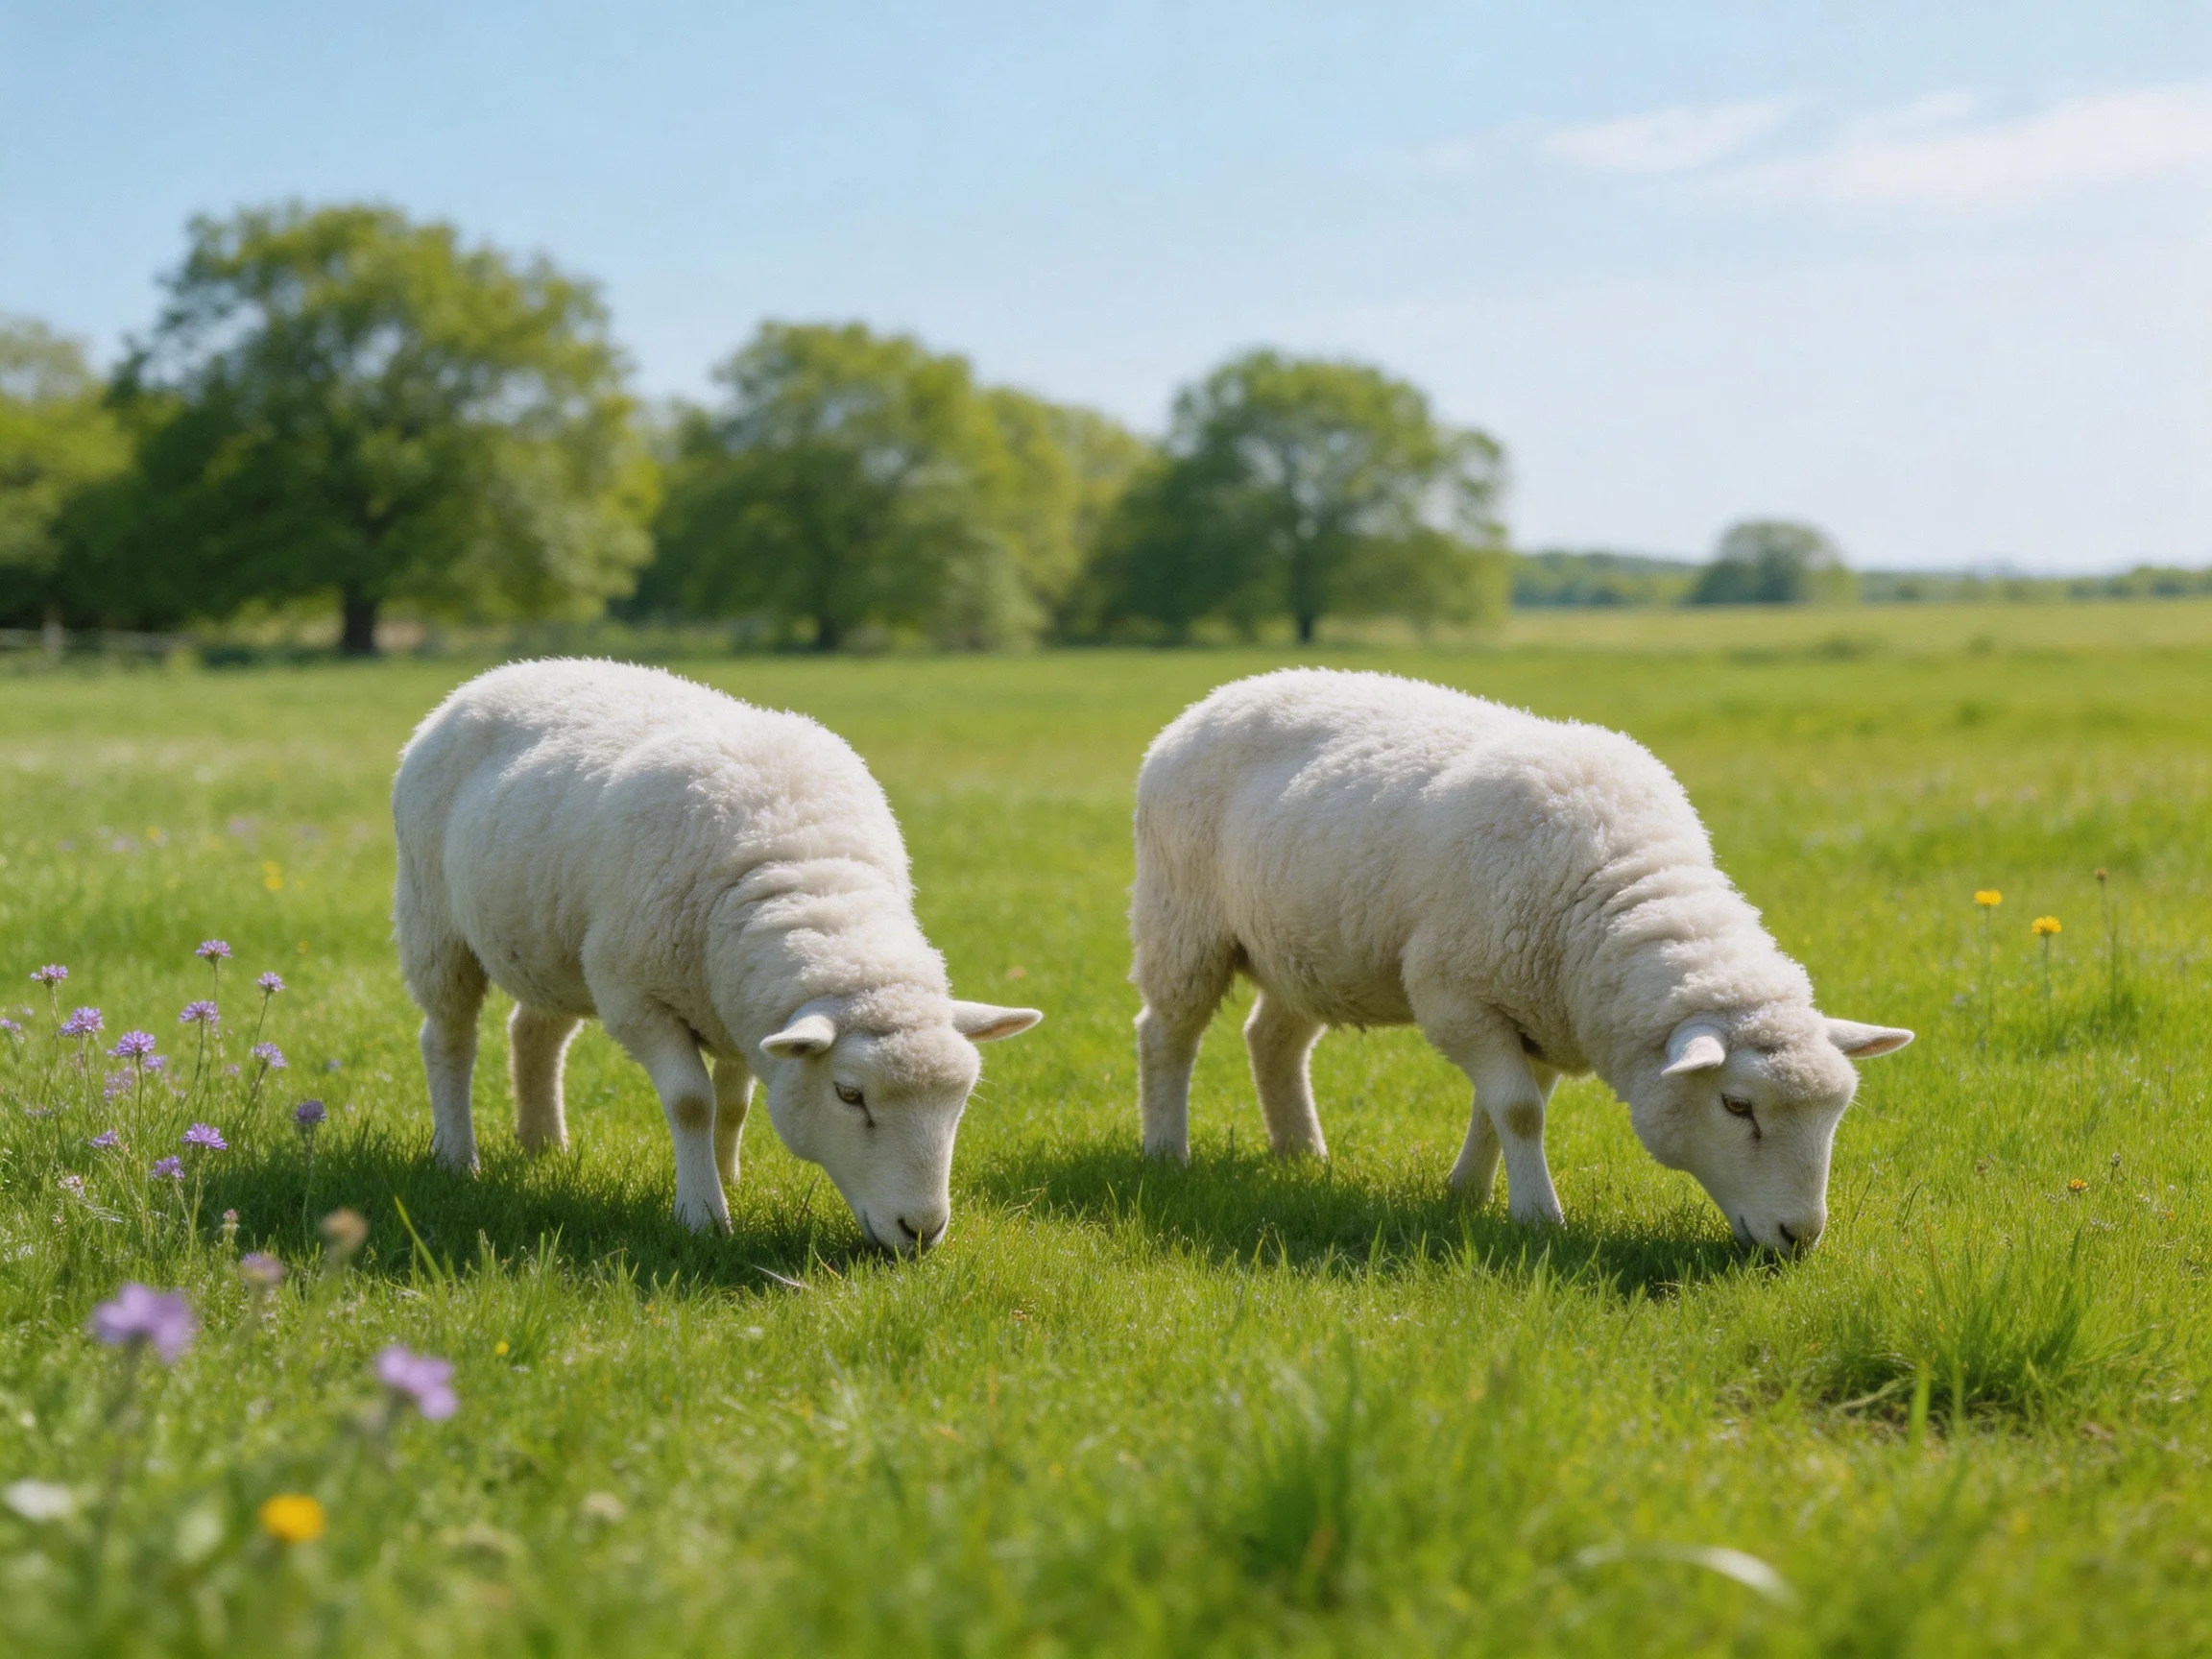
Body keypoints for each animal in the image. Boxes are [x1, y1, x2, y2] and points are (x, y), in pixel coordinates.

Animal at [392, 659, 1040, 1251]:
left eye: (961, 1099)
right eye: (849, 1095)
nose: (922, 1231)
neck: (806, 870)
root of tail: (500, 673)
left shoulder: (741, 1003)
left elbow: (734, 1105)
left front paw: (730, 1179)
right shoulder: (635, 997)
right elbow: (692, 1104)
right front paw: (704, 1213)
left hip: (549, 944)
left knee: (534, 1034)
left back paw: (544, 1145)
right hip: (433, 920)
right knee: (448, 1039)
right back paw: (457, 1157)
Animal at [1129, 668, 1911, 1254]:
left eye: (1836, 1113)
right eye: (1737, 1105)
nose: (1800, 1238)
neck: (1614, 887)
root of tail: (1217, 696)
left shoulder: (1541, 1010)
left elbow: (1497, 1111)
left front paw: (1466, 1194)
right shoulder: (1457, 996)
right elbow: (1519, 1111)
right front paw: (1537, 1217)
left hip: (1304, 948)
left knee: (1272, 1040)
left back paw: (1301, 1153)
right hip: (1182, 920)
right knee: (1166, 1035)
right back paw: (1166, 1153)